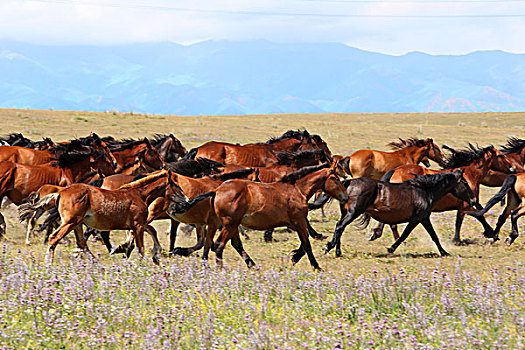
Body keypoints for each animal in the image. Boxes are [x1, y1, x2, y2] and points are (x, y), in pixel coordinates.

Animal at [167, 164, 348, 270]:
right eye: (335, 179)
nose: (346, 197)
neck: (297, 190)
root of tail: (217, 190)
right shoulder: (299, 222)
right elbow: (307, 244)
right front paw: (316, 267)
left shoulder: (295, 223)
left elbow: (305, 244)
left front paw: (294, 257)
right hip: (230, 224)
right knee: (218, 245)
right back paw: (222, 269)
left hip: (232, 225)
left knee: (232, 244)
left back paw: (251, 265)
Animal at [316, 170, 478, 258]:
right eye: (464, 182)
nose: (473, 200)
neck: (424, 191)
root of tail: (348, 183)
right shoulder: (416, 218)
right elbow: (405, 235)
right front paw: (391, 249)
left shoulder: (424, 218)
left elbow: (434, 236)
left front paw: (444, 252)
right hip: (353, 212)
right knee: (339, 226)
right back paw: (329, 248)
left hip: (347, 213)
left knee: (340, 227)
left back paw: (337, 251)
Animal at [366, 144, 512, 245]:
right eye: (501, 156)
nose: (513, 168)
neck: (469, 175)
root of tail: (395, 171)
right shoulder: (465, 205)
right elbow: (471, 217)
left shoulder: (470, 202)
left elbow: (478, 212)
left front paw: (491, 233)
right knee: (392, 223)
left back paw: (378, 234)